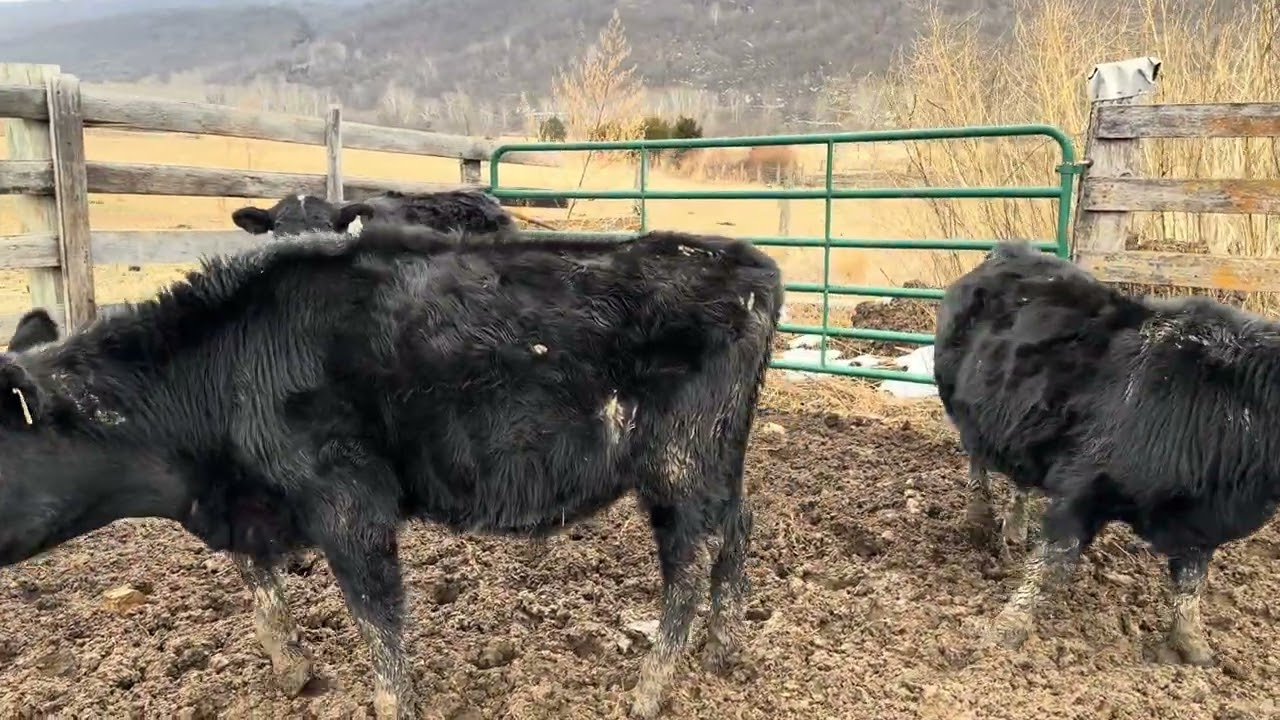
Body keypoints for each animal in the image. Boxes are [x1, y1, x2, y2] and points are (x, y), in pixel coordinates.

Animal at [0, 225, 783, 719]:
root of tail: (748, 263)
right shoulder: (253, 505)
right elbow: (262, 591)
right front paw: (293, 674)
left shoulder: (348, 499)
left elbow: (376, 616)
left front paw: (389, 704)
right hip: (720, 458)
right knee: (737, 531)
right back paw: (724, 653)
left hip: (680, 460)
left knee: (691, 561)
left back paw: (650, 690)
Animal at [933, 239, 1280, 667]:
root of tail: (1010, 250)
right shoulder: (1080, 488)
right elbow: (1053, 562)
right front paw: (1005, 631)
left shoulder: (1201, 523)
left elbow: (1191, 583)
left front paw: (1194, 649)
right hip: (962, 404)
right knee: (978, 461)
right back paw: (979, 520)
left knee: (1019, 477)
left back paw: (1014, 529)